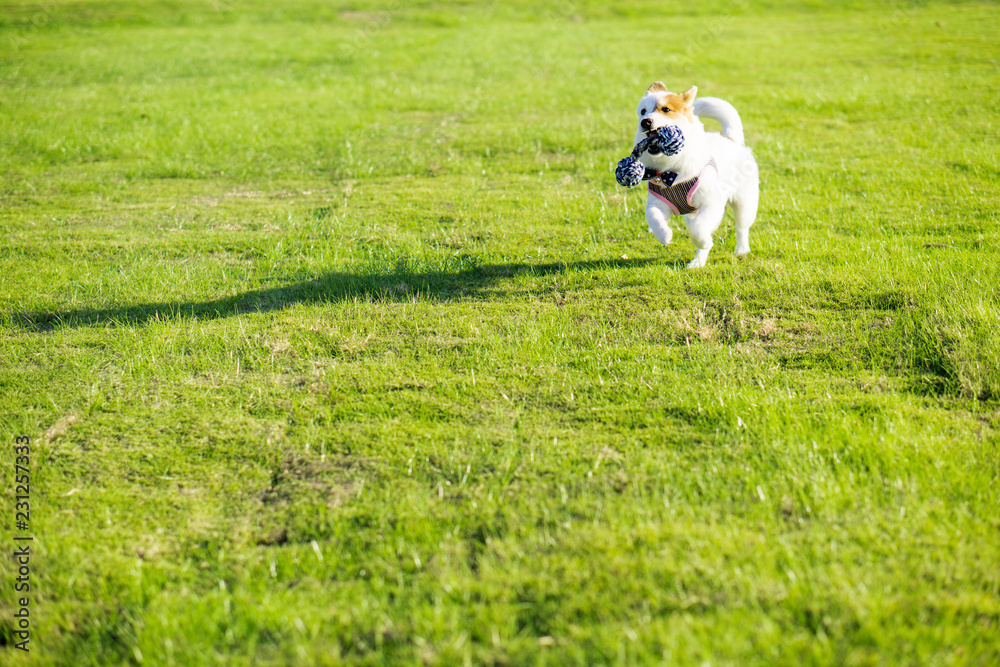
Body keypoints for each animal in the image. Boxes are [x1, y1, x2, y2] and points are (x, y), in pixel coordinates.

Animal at [632, 83, 756, 268]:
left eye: (666, 109)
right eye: (642, 111)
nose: (645, 121)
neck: (669, 169)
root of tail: (731, 138)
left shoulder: (712, 203)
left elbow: (698, 229)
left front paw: (703, 241)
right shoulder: (657, 201)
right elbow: (653, 217)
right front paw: (664, 235)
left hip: (744, 202)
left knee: (741, 227)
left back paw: (741, 250)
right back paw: (697, 262)